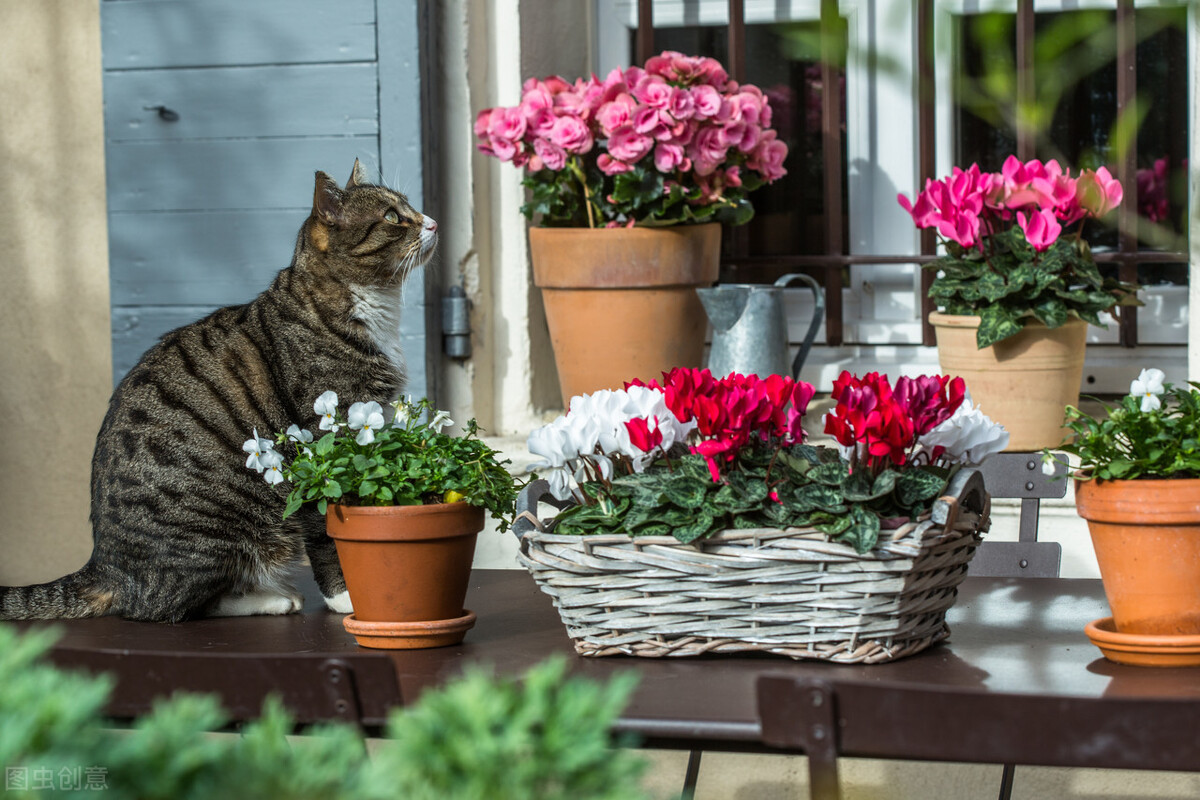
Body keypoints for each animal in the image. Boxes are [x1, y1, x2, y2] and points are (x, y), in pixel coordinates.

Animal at [0, 163, 436, 623]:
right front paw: (347, 598)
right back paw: (274, 598)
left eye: (408, 208)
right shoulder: (321, 441)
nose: (432, 222)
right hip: (212, 531)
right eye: (392, 217)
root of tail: (104, 566)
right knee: (168, 605)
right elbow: (325, 530)